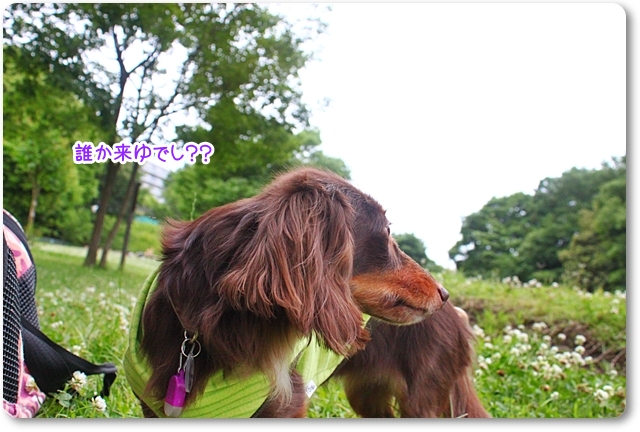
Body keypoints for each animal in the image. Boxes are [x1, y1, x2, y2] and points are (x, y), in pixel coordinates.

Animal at [123, 167, 486, 417]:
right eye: (386, 231)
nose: (444, 293)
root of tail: (460, 317)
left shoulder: (286, 404)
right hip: (369, 395)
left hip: (422, 398)